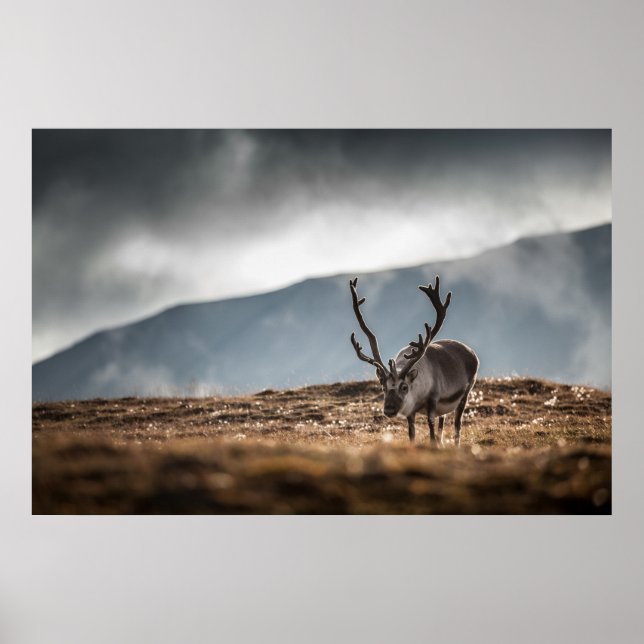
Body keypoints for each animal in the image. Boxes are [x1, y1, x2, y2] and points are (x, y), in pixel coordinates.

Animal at [349, 276, 479, 447]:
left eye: (404, 387)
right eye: (383, 386)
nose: (389, 409)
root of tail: (472, 353)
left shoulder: (433, 400)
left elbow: (431, 429)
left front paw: (433, 445)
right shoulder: (411, 413)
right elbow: (412, 433)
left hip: (465, 394)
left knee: (458, 424)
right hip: (444, 409)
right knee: (442, 422)